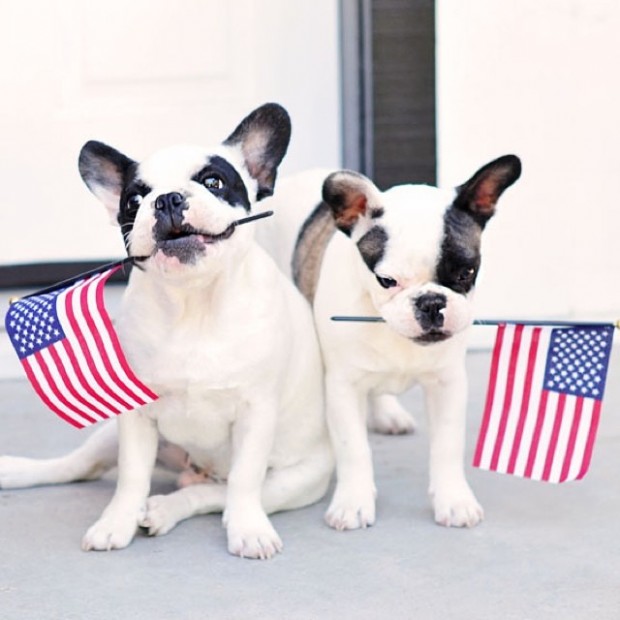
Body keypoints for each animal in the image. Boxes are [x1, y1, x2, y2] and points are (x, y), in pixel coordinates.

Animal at [0, 104, 334, 560]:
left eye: (214, 182)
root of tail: (196, 470)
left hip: (296, 480)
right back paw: (18, 472)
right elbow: (131, 477)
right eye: (133, 200)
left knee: (218, 493)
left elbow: (244, 480)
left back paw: (166, 509)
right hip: (109, 435)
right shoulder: (133, 413)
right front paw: (116, 523)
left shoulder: (256, 412)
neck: (193, 304)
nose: (168, 199)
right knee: (76, 467)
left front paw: (248, 529)